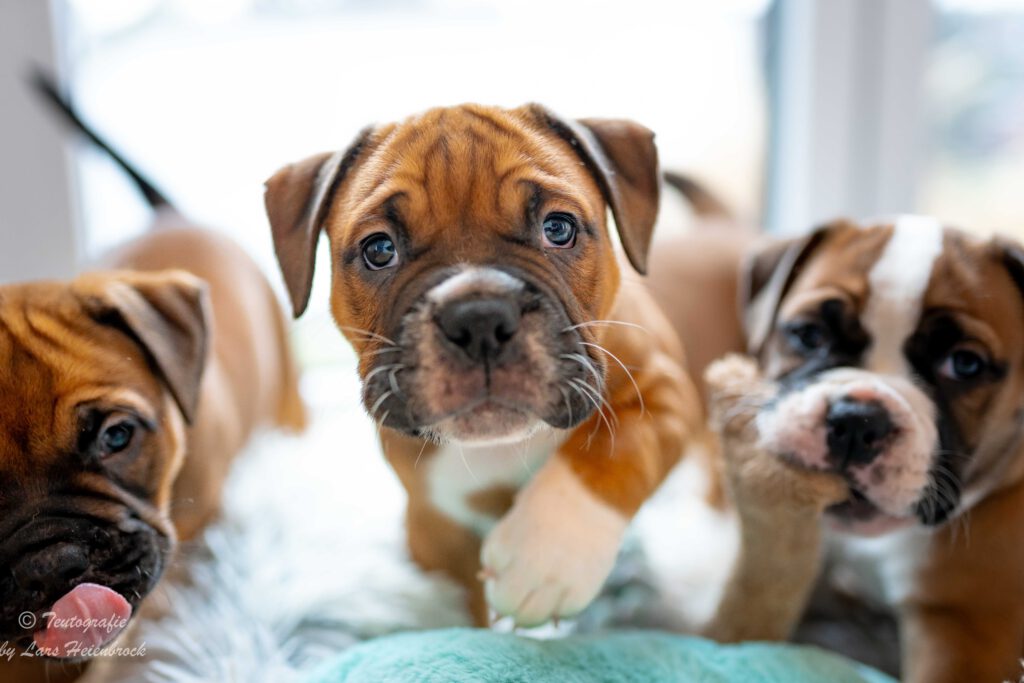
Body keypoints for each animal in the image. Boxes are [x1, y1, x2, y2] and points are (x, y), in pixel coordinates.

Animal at [262, 104, 704, 626]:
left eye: (558, 228)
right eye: (379, 250)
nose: (479, 318)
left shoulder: (664, 387)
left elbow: (617, 448)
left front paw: (547, 554)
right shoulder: (437, 530)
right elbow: (467, 611)